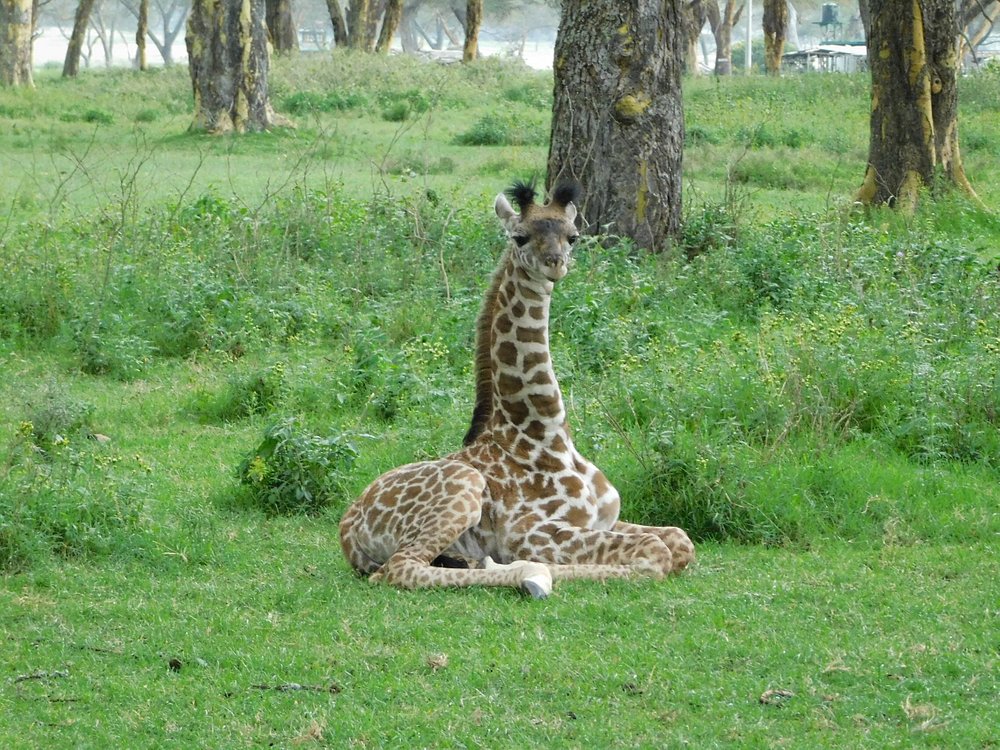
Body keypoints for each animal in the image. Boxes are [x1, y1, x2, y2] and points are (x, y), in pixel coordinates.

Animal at [339, 179, 694, 598]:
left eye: (573, 236)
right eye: (520, 237)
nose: (555, 264)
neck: (545, 432)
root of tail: (348, 528)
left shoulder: (603, 520)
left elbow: (680, 540)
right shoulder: (533, 532)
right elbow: (655, 554)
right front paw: (531, 568)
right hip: (463, 489)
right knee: (400, 568)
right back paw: (530, 575)